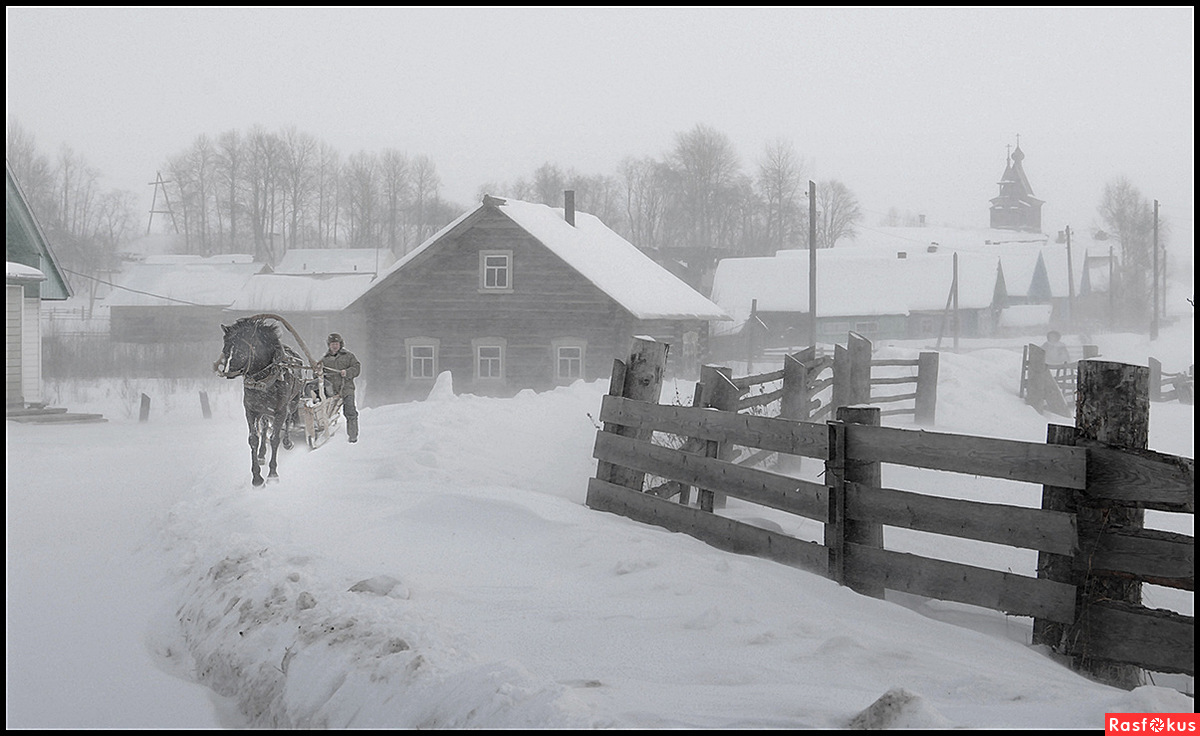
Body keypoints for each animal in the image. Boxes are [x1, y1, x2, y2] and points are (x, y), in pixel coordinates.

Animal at [217, 314, 307, 482]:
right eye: (225, 350)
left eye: (240, 350)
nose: (227, 372)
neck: (264, 379)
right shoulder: (251, 411)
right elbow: (254, 439)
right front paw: (257, 477)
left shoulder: (279, 411)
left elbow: (275, 438)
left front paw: (272, 474)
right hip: (264, 410)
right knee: (265, 426)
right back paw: (261, 454)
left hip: (293, 402)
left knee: (289, 419)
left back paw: (287, 442)